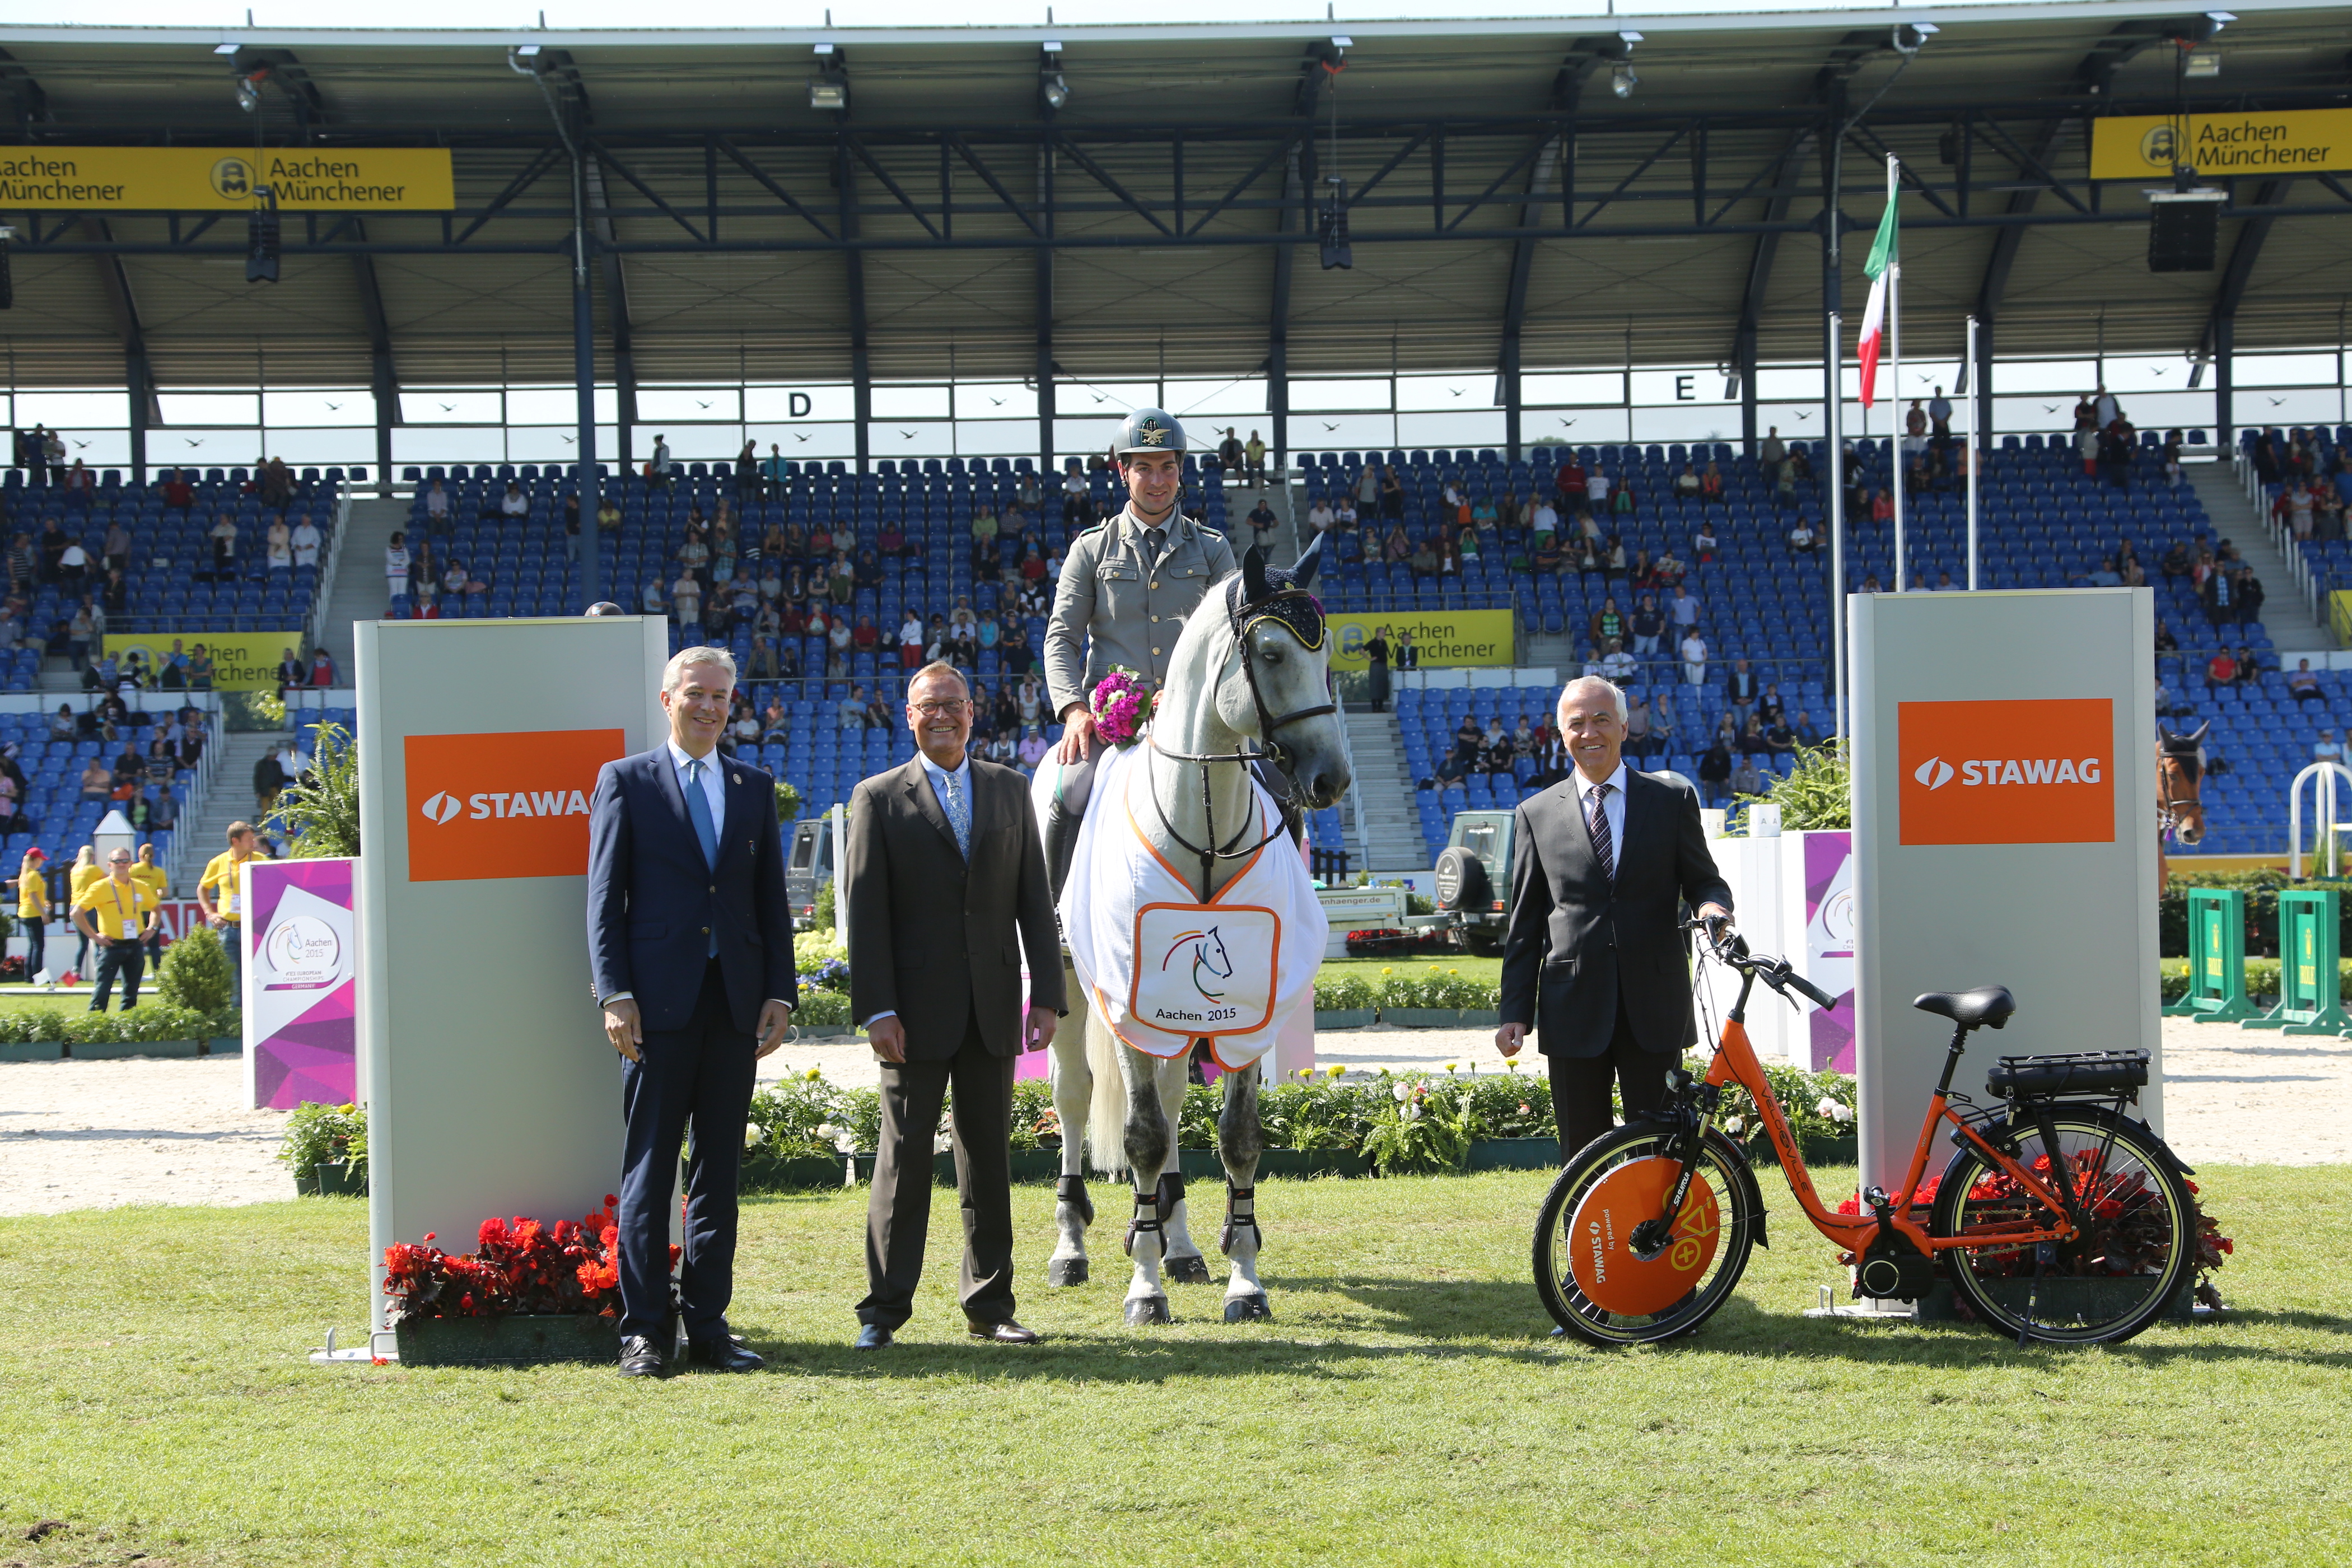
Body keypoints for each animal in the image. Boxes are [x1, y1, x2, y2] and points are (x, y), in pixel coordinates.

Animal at [1044, 550, 1355, 1326]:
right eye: (1270, 653)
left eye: (1327, 655)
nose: (1331, 779)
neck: (1201, 832)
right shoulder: (1122, 1003)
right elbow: (1142, 1135)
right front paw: (1143, 1290)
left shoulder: (1248, 1007)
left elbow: (1235, 1137)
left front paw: (1243, 1280)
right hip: (1067, 993)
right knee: (1074, 1098)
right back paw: (1073, 1249)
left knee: (1173, 1096)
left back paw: (1177, 1243)